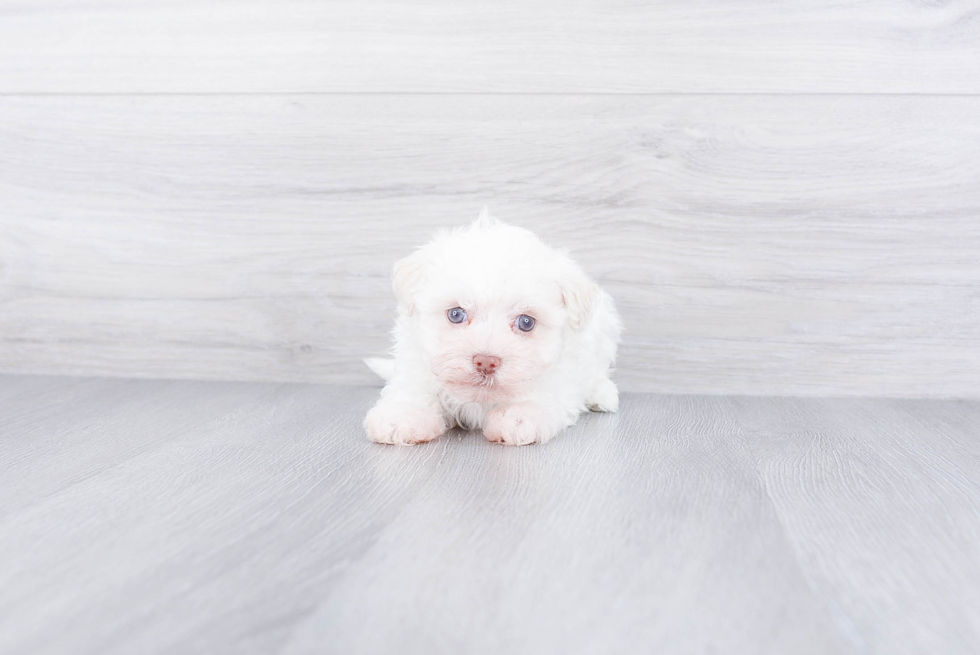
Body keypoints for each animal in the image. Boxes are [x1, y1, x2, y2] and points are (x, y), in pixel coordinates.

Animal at [364, 210, 624, 446]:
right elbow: (415, 389)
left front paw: (518, 416)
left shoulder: (559, 373)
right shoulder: (416, 362)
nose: (486, 362)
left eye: (526, 322)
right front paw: (402, 415)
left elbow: (540, 393)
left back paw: (601, 394)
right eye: (456, 314)